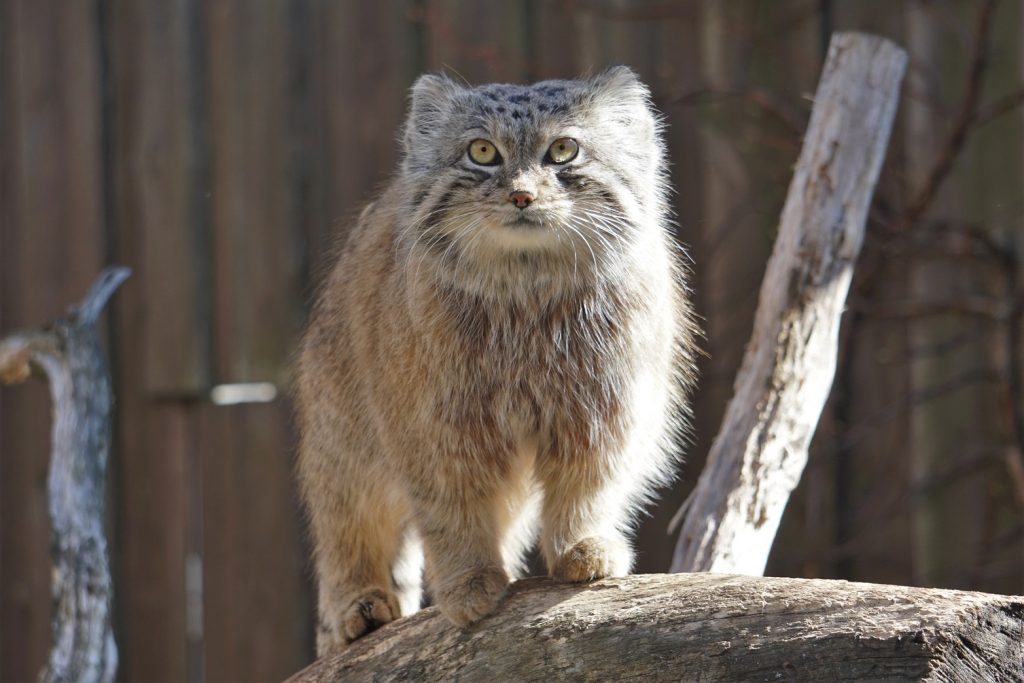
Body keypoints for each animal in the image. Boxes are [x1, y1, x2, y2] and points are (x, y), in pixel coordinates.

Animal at [294, 66, 699, 655]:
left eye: (564, 150)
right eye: (482, 152)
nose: (522, 195)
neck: (525, 291)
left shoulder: (603, 413)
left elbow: (587, 488)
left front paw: (582, 546)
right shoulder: (434, 427)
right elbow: (452, 512)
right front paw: (466, 581)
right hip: (341, 438)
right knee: (348, 525)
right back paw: (359, 604)